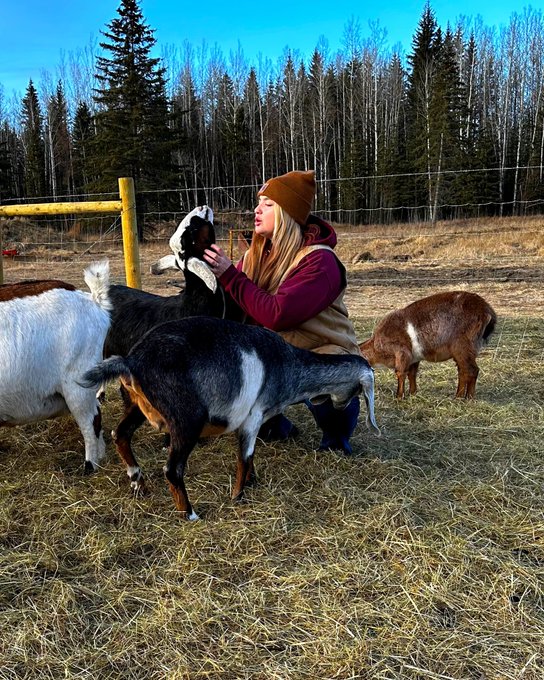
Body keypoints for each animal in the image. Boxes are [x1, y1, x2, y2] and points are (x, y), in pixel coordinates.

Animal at [82, 316, 380, 520]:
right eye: (359, 392)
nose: (342, 407)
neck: (289, 365)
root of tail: (132, 361)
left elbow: (251, 455)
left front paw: (252, 480)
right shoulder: (253, 416)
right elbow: (244, 456)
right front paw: (238, 495)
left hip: (136, 406)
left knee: (120, 434)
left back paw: (137, 480)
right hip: (187, 418)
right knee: (172, 468)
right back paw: (189, 513)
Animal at [359, 291, 497, 399]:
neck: (376, 345)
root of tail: (486, 311)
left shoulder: (402, 353)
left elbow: (400, 373)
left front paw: (399, 397)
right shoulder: (414, 357)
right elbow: (412, 373)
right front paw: (412, 393)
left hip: (462, 346)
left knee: (472, 370)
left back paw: (467, 398)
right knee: (463, 371)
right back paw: (459, 396)